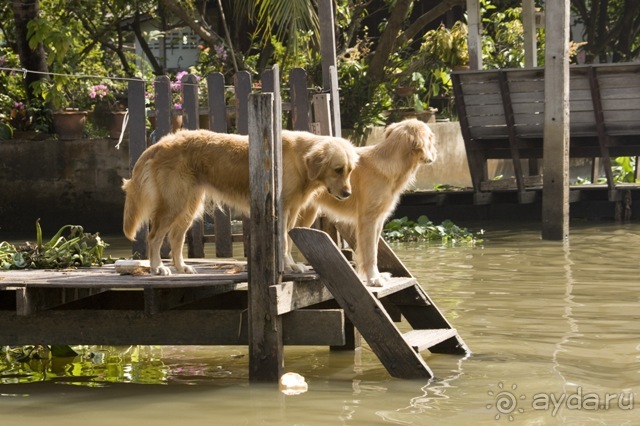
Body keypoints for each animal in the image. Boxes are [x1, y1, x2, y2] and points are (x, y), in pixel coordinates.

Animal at [122, 130, 358, 276]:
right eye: (337, 169)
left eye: (349, 171)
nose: (348, 193)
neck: (300, 160)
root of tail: (160, 143)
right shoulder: (282, 209)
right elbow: (283, 240)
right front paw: (289, 266)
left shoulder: (291, 211)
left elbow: (288, 242)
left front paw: (290, 265)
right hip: (174, 203)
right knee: (154, 237)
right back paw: (158, 268)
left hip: (189, 205)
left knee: (176, 237)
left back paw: (181, 267)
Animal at [298, 118, 438, 288]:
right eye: (431, 138)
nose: (436, 153)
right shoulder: (368, 219)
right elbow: (370, 253)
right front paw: (373, 279)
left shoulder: (378, 220)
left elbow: (374, 250)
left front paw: (375, 275)